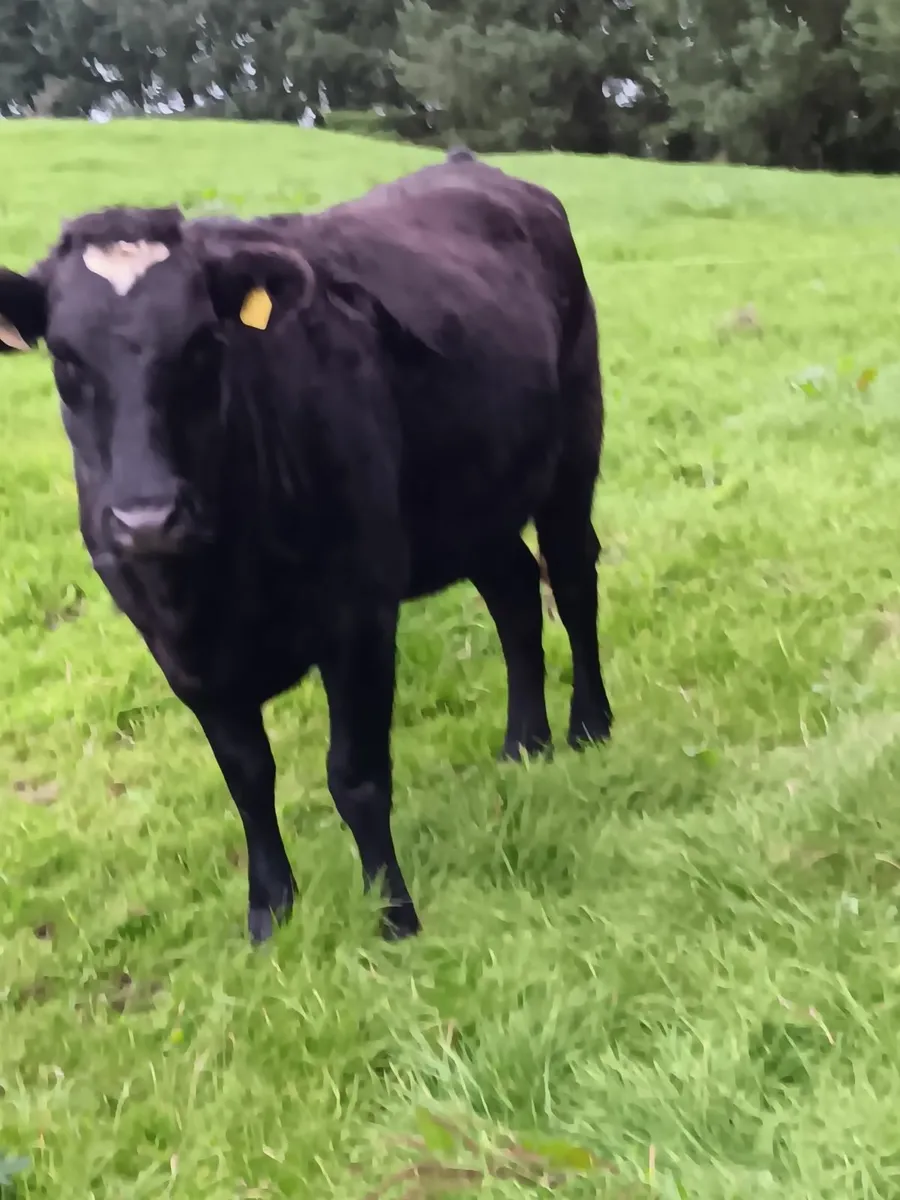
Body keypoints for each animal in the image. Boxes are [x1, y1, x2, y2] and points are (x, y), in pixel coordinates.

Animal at [0, 147, 613, 945]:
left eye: (202, 344)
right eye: (66, 359)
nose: (147, 518)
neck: (216, 585)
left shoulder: (360, 618)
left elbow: (356, 776)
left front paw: (393, 914)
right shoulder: (180, 654)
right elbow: (247, 778)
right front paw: (269, 911)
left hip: (573, 446)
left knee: (570, 578)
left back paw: (588, 725)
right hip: (473, 496)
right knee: (513, 591)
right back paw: (523, 742)